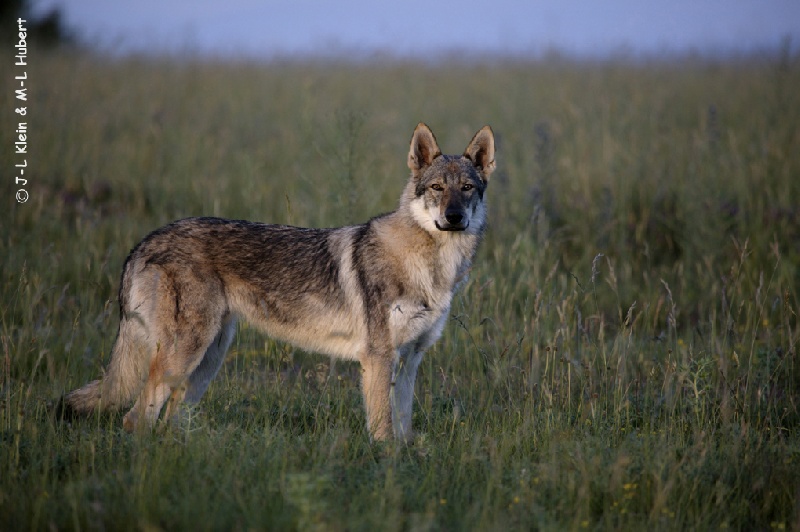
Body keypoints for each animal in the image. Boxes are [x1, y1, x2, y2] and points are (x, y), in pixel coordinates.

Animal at [62, 123, 494, 440]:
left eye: (467, 188)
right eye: (437, 188)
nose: (454, 217)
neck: (432, 267)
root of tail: (144, 241)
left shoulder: (409, 361)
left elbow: (403, 429)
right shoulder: (377, 358)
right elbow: (384, 433)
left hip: (207, 362)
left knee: (168, 422)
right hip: (184, 356)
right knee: (135, 419)